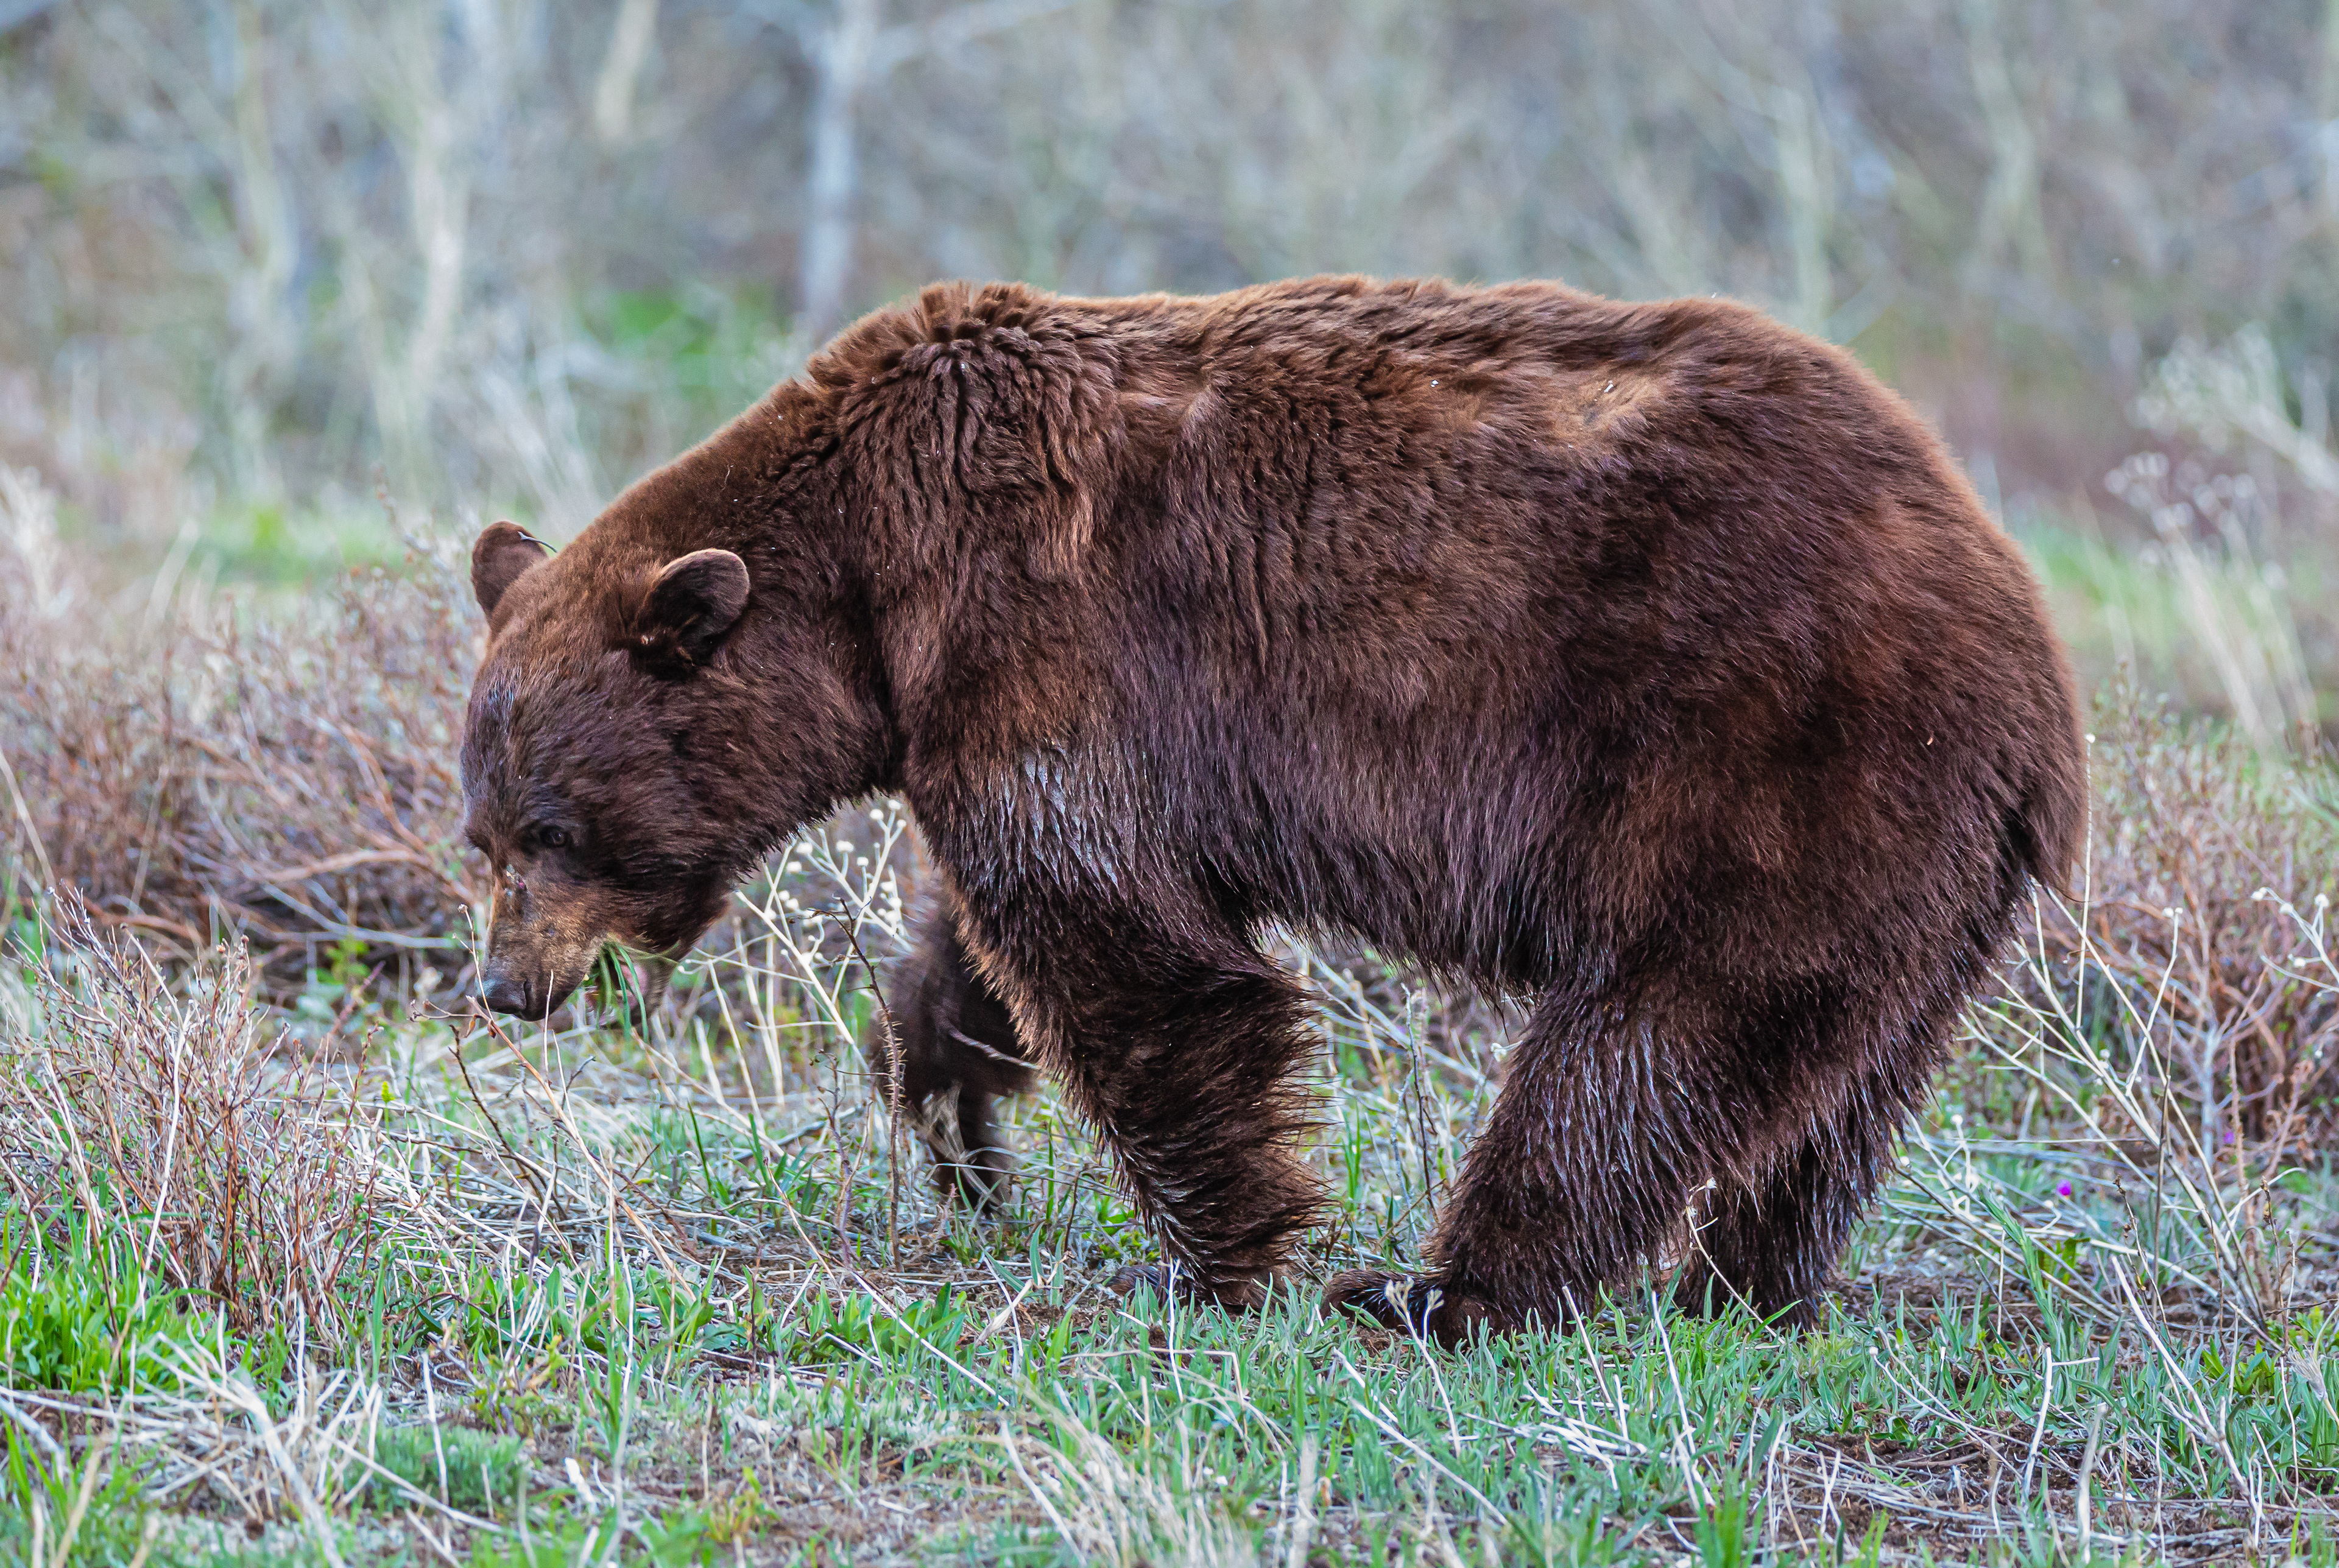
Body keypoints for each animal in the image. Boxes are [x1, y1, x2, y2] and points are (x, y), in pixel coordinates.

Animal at [460, 274, 2085, 1342]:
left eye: (552, 830)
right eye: (479, 837)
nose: (501, 987)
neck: (867, 580)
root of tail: (2026, 642)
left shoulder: (1044, 628)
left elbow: (1132, 950)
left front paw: (1207, 1257)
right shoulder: (969, 704)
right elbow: (982, 941)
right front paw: (957, 1124)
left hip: (1763, 758)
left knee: (1646, 1037)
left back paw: (1446, 1288)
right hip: (1912, 865)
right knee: (1838, 1091)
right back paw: (1747, 1286)